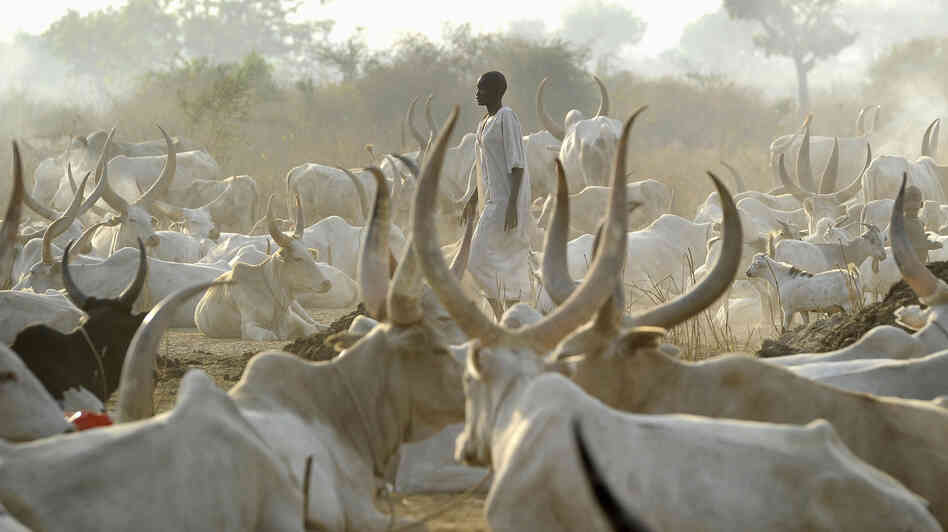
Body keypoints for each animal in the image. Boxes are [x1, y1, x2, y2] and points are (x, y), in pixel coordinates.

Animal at [195, 195, 331, 340]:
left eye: (310, 256)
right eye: (297, 258)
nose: (326, 283)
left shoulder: (295, 319)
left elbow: (311, 329)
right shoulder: (249, 327)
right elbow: (271, 336)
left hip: (298, 308)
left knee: (315, 323)